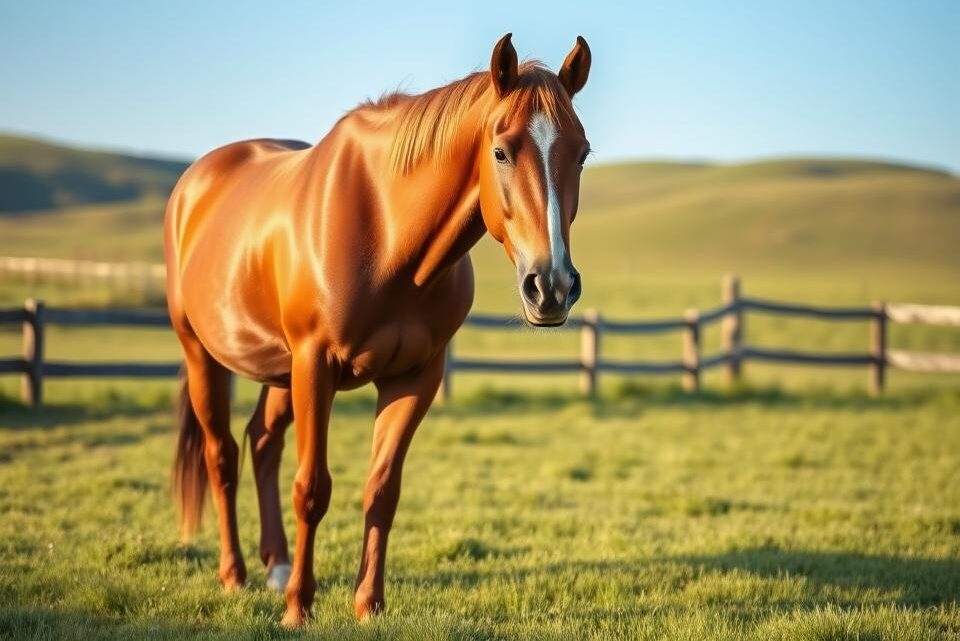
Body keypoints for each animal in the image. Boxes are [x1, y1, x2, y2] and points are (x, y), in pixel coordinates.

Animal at [164, 33, 592, 627]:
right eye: (501, 151)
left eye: (582, 153)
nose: (551, 286)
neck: (386, 235)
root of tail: (194, 183)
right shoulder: (316, 365)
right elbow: (312, 489)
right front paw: (299, 607)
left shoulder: (414, 376)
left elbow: (382, 490)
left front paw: (368, 604)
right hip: (204, 354)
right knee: (221, 455)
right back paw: (236, 575)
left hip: (280, 372)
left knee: (263, 444)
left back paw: (275, 566)